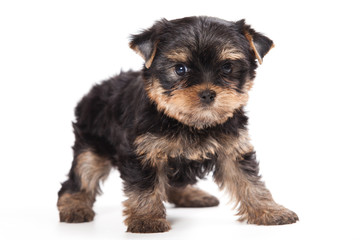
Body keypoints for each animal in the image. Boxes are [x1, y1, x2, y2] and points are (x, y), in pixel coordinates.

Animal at [57, 16, 298, 232]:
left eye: (227, 67)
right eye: (180, 69)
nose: (208, 94)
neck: (189, 122)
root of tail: (94, 90)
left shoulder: (232, 148)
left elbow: (249, 180)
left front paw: (270, 211)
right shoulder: (144, 152)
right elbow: (145, 187)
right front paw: (147, 220)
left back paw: (192, 195)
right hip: (92, 146)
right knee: (81, 176)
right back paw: (74, 206)